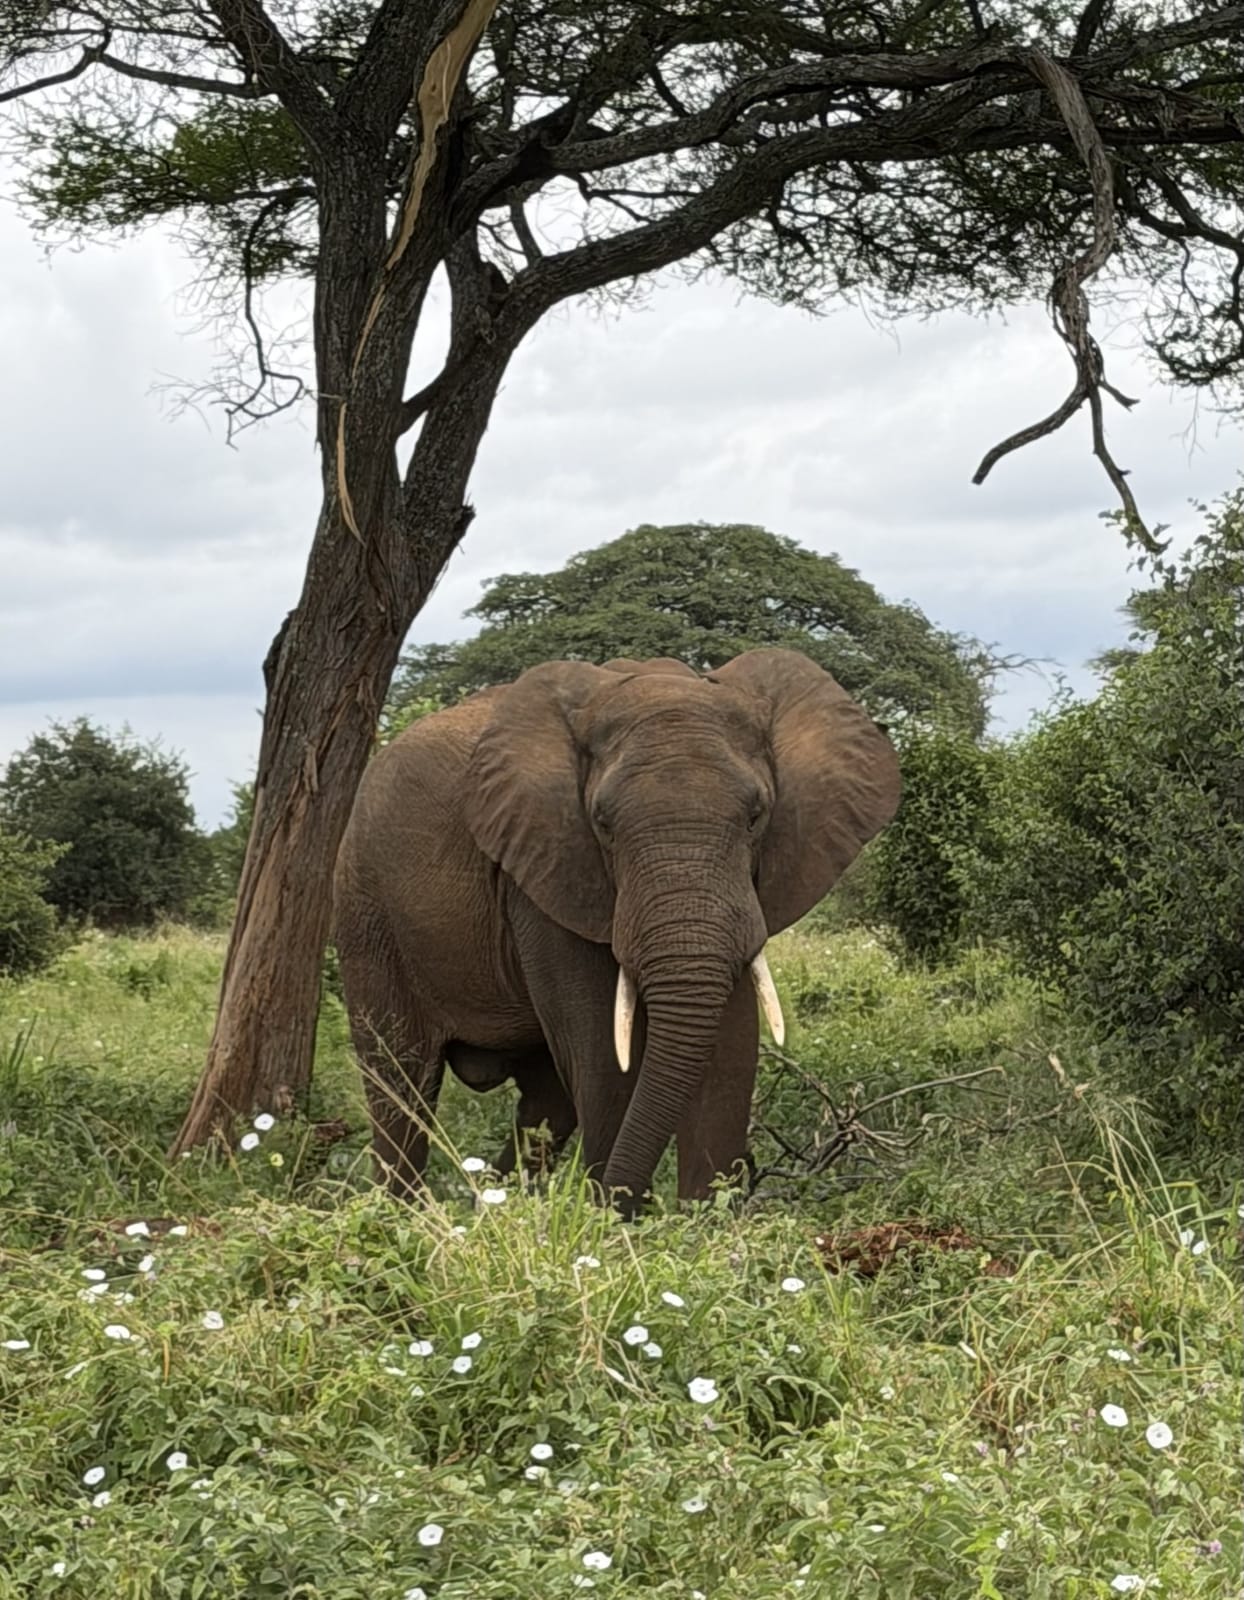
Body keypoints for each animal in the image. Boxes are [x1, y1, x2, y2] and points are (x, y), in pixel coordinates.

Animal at [332, 647, 900, 1216]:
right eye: (603, 823)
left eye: (756, 816)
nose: (619, 1205)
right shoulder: (546, 866)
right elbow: (605, 1057)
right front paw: (621, 1223)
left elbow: (730, 1045)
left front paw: (704, 1223)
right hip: (367, 912)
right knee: (401, 1084)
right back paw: (402, 1213)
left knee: (546, 1102)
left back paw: (495, 1206)